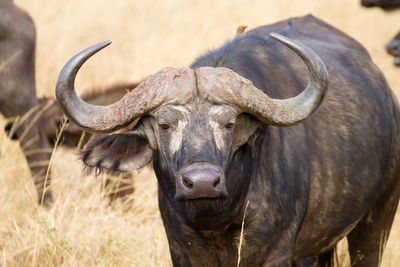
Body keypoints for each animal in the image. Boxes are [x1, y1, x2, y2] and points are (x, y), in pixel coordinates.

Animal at [56, 15, 400, 266]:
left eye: (229, 124)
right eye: (165, 125)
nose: (202, 183)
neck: (217, 219)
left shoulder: (277, 254)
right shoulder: (181, 250)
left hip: (376, 220)